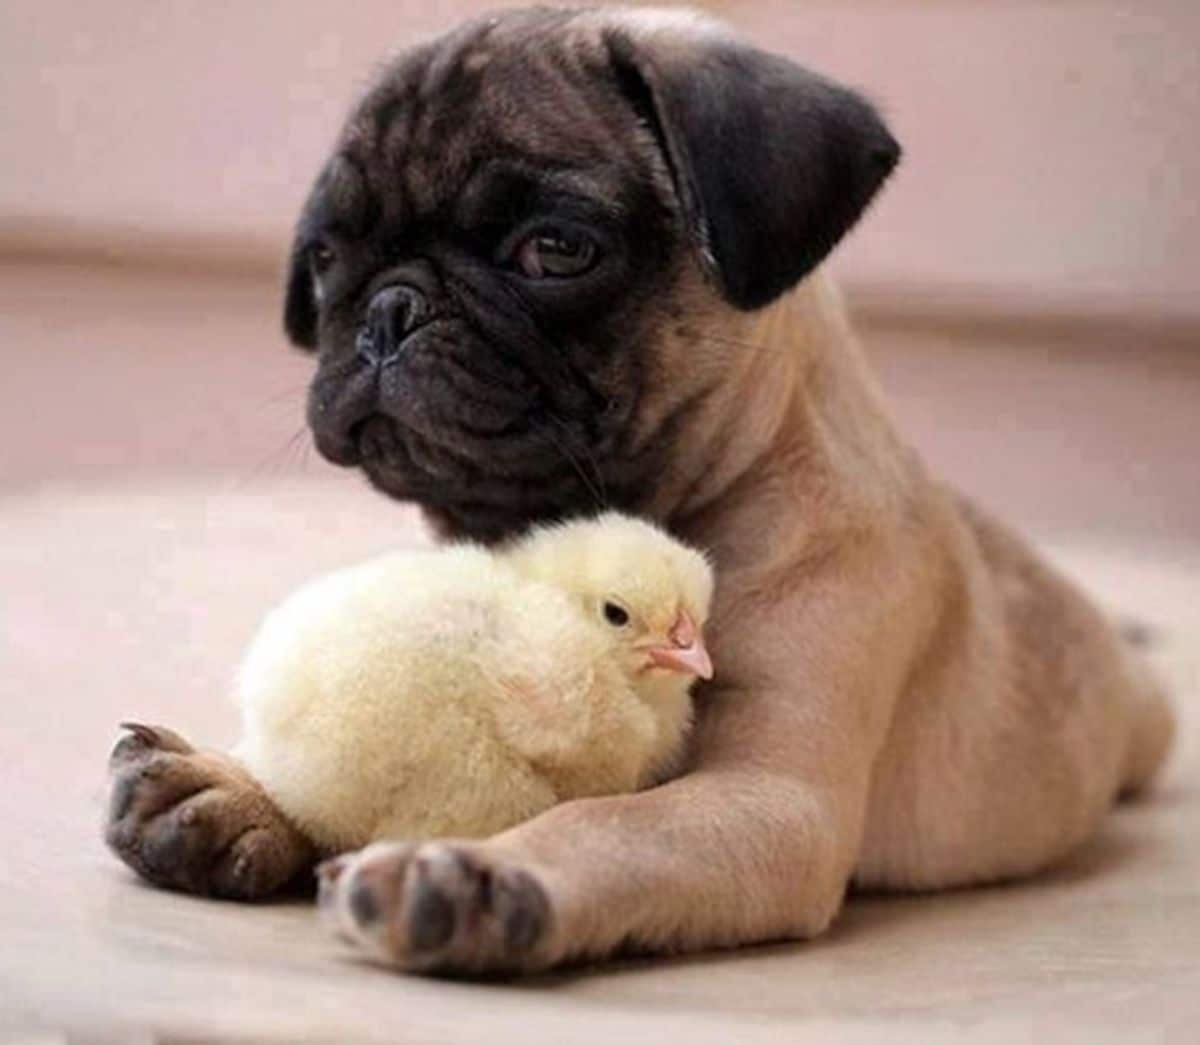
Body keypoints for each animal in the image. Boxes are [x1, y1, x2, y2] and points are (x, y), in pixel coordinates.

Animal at [105, 8, 1171, 979]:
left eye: (555, 249)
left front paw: (480, 872)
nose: (390, 309)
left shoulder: (771, 800)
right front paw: (241, 788)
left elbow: (608, 823)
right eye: (326, 258)